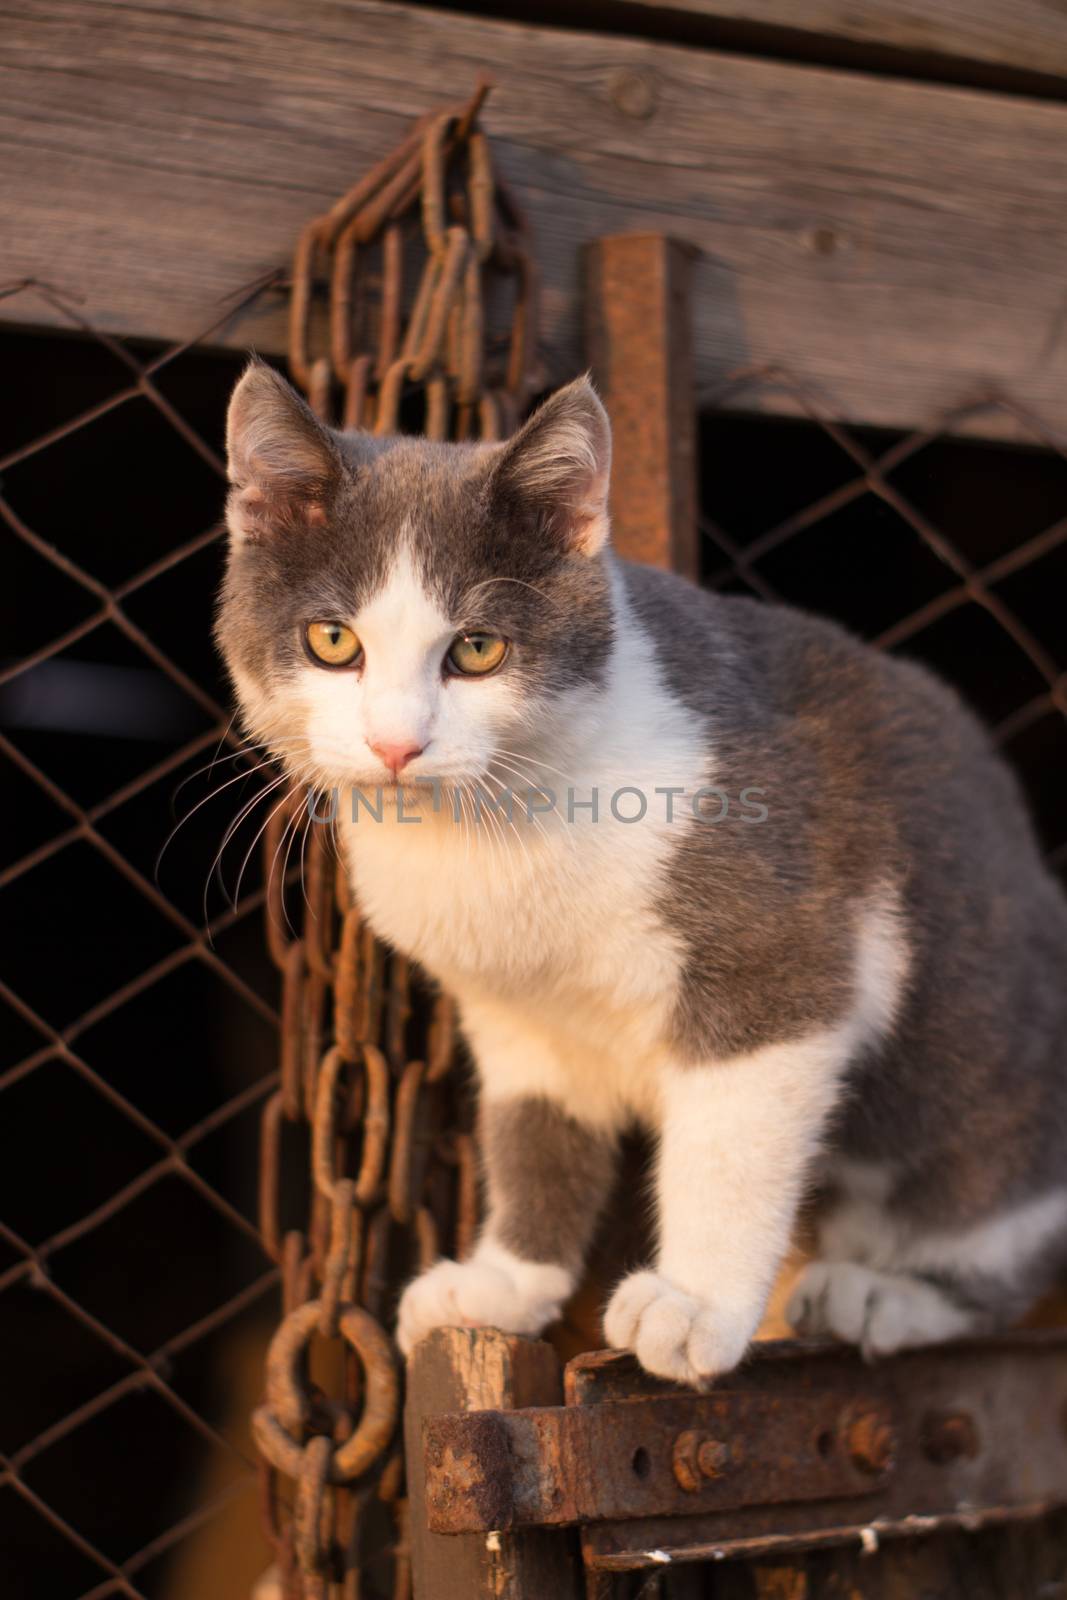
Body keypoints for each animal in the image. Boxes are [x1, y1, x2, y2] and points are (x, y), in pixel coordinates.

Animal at [217, 363, 1067, 1388]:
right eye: (332, 641)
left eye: (477, 649)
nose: (395, 744)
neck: (488, 834)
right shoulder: (516, 1016)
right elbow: (533, 1132)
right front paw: (507, 1280)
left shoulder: (782, 955)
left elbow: (729, 1146)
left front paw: (695, 1303)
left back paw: (884, 1295)